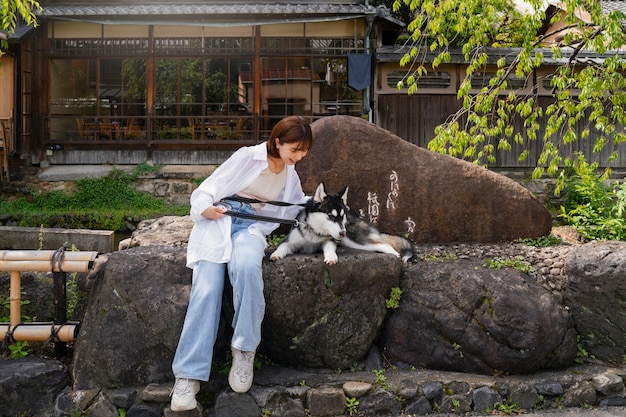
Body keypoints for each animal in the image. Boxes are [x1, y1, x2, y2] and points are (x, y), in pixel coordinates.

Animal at [270, 183, 412, 266]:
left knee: (384, 244)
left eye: (342, 216)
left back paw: (394, 253)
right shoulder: (288, 242)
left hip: (355, 240)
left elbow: (329, 248)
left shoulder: (330, 241)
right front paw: (276, 254)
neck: (315, 232)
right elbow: (282, 247)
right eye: (331, 216)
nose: (343, 232)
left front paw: (331, 257)